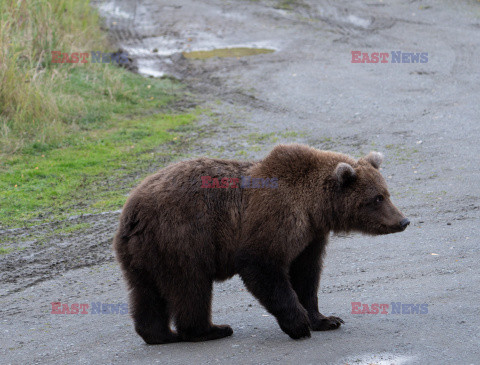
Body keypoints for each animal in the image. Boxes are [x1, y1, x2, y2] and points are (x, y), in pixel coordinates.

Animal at [112, 144, 408, 342]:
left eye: (386, 193)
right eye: (377, 198)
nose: (403, 221)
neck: (314, 207)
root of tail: (131, 212)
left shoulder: (311, 235)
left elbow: (306, 275)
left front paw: (326, 319)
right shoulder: (277, 216)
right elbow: (261, 264)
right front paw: (298, 324)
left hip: (145, 252)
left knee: (145, 291)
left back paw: (158, 334)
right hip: (182, 238)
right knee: (190, 286)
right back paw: (210, 330)